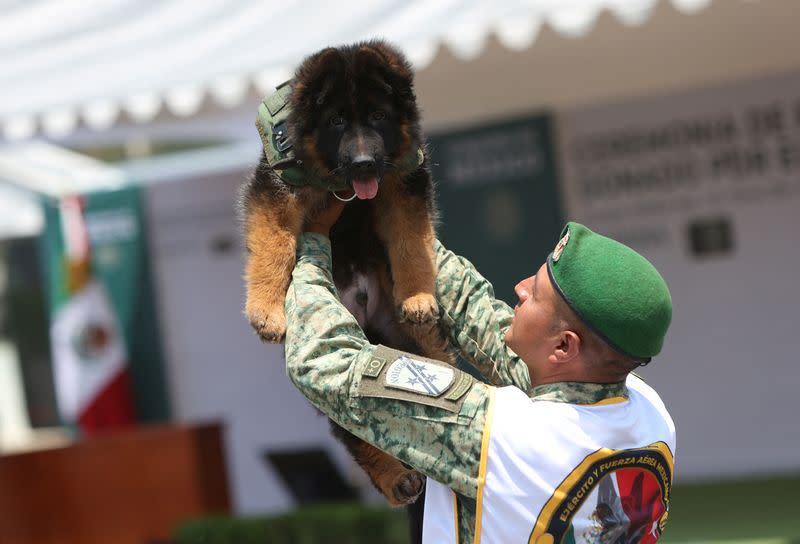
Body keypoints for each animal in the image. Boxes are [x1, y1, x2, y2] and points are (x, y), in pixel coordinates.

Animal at [241, 40, 454, 508]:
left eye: (377, 116)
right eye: (337, 121)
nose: (363, 163)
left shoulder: (404, 181)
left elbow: (411, 241)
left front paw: (418, 295)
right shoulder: (277, 187)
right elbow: (273, 244)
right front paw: (266, 310)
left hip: (400, 342)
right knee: (352, 428)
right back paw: (396, 478)